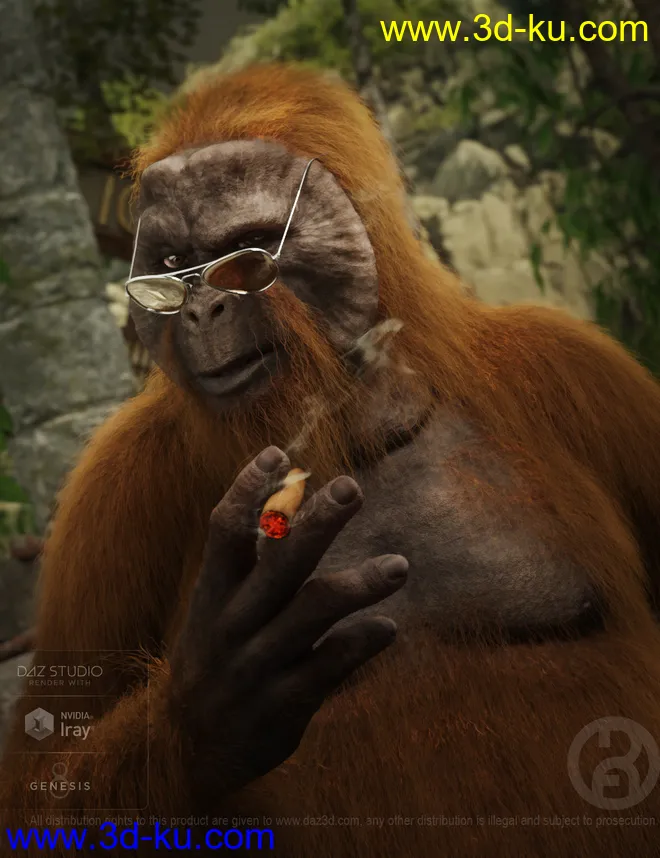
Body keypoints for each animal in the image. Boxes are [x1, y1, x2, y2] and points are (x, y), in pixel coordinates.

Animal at [2, 61, 660, 857]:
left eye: (247, 254)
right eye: (171, 267)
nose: (198, 310)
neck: (352, 424)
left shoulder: (573, 367)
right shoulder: (114, 486)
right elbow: (33, 785)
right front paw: (206, 708)